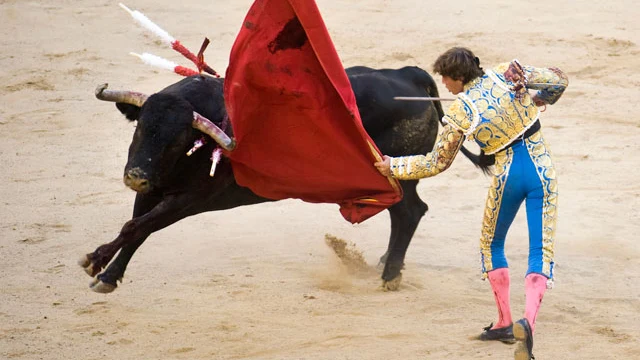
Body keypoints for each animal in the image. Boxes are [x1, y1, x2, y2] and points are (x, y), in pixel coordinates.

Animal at [81, 66, 490, 292]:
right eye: (140, 127)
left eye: (179, 139)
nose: (135, 176)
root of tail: (408, 76)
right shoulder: (155, 190)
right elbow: (137, 227)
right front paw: (108, 275)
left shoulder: (190, 198)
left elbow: (137, 226)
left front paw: (94, 260)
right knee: (407, 212)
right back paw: (388, 263)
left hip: (398, 177)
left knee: (408, 213)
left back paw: (389, 276)